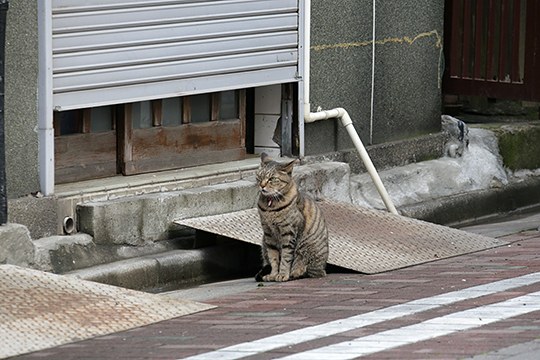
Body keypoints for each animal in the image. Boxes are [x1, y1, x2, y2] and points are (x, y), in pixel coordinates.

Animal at [256, 152, 330, 282]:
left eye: (272, 179)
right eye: (259, 176)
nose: (262, 185)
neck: (270, 208)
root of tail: (323, 269)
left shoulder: (289, 232)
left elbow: (285, 257)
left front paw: (282, 274)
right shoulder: (268, 233)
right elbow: (273, 257)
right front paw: (273, 274)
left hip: (307, 251)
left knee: (305, 270)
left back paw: (295, 272)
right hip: (264, 242)